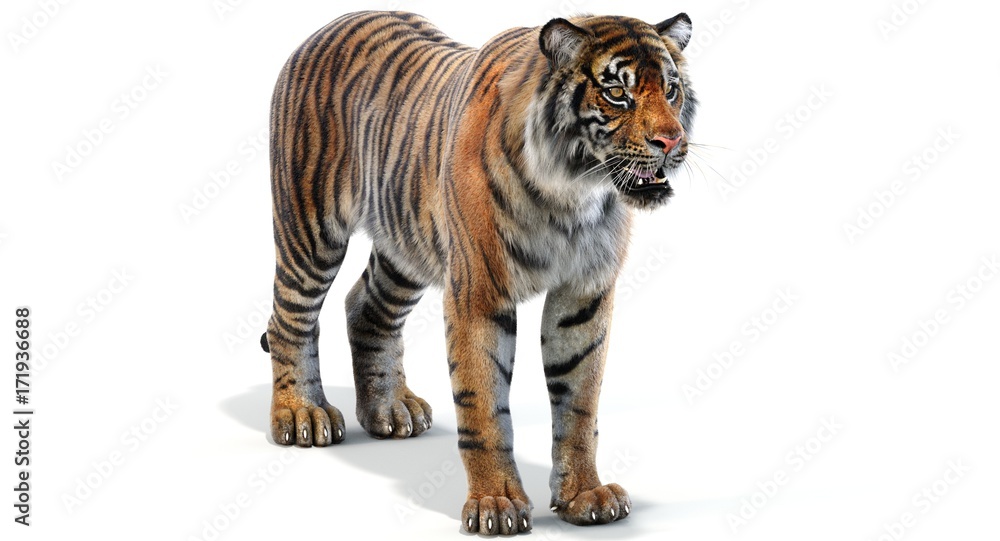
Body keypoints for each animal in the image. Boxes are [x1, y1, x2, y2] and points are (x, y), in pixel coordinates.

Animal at [259, 10, 696, 534]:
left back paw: (389, 409)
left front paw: (584, 496)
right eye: (616, 92)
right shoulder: (478, 293)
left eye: (671, 89)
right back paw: (301, 414)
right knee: (289, 319)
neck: (573, 192)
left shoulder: (584, 296)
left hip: (407, 247)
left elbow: (579, 402)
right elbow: (483, 405)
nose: (671, 141)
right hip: (310, 228)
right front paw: (496, 504)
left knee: (364, 306)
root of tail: (328, 26)